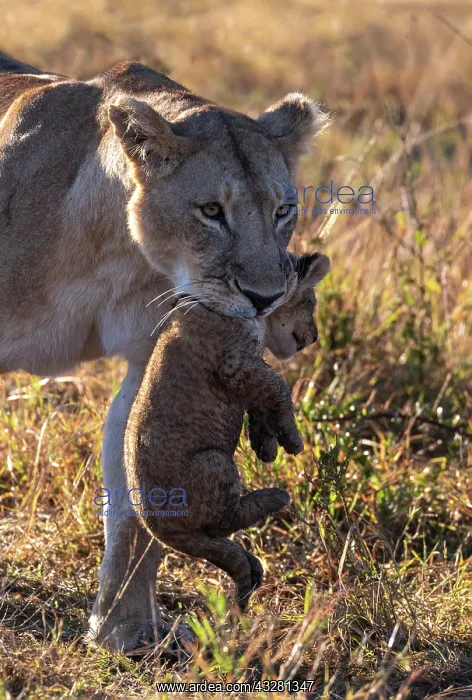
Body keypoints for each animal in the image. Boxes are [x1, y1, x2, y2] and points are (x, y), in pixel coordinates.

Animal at [0, 52, 328, 652]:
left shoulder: (158, 352)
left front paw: (124, 632)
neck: (111, 244)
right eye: (211, 211)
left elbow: (135, 497)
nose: (266, 298)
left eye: (283, 211)